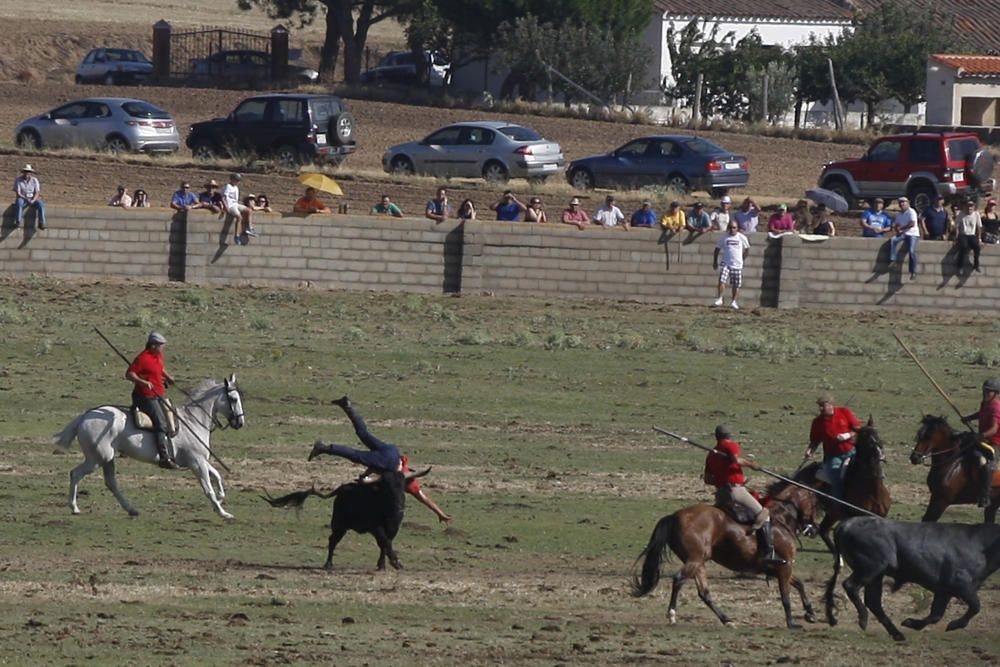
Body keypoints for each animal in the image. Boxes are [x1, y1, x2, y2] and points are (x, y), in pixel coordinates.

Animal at [54, 376, 246, 520]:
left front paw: (221, 497)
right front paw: (223, 512)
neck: (192, 420)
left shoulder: (200, 461)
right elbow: (208, 488)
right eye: (234, 399)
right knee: (76, 474)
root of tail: (85, 416)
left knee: (111, 483)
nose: (240, 422)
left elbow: (217, 475)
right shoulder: (196, 462)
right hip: (97, 459)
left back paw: (131, 509)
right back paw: (74, 507)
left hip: (107, 459)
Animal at [264, 468, 428, 572]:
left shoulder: (393, 529)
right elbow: (385, 542)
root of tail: (342, 489)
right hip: (339, 525)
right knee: (332, 540)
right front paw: (396, 563)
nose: (400, 506)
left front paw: (382, 565)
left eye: (402, 487)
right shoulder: (376, 527)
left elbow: (385, 544)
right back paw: (328, 564)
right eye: (387, 487)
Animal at [632, 480, 820, 628]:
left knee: (704, 593)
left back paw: (727, 619)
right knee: (678, 579)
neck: (781, 519)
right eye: (813, 501)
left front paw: (810, 613)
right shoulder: (785, 568)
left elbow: (800, 584)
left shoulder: (779, 569)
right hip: (695, 560)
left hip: (699, 563)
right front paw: (791, 623)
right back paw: (672, 614)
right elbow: (786, 596)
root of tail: (674, 516)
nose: (814, 529)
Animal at [796, 422, 892, 560]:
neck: (873, 491)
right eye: (865, 437)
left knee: (824, 529)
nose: (880, 452)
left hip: (832, 514)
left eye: (876, 433)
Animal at [824, 516, 1000, 640]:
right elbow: (975, 606)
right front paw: (954, 624)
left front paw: (911, 623)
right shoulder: (960, 583)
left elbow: (936, 615)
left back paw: (897, 634)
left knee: (873, 601)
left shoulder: (944, 590)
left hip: (876, 575)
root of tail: (845, 524)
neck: (981, 546)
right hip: (870, 569)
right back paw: (863, 618)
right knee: (850, 586)